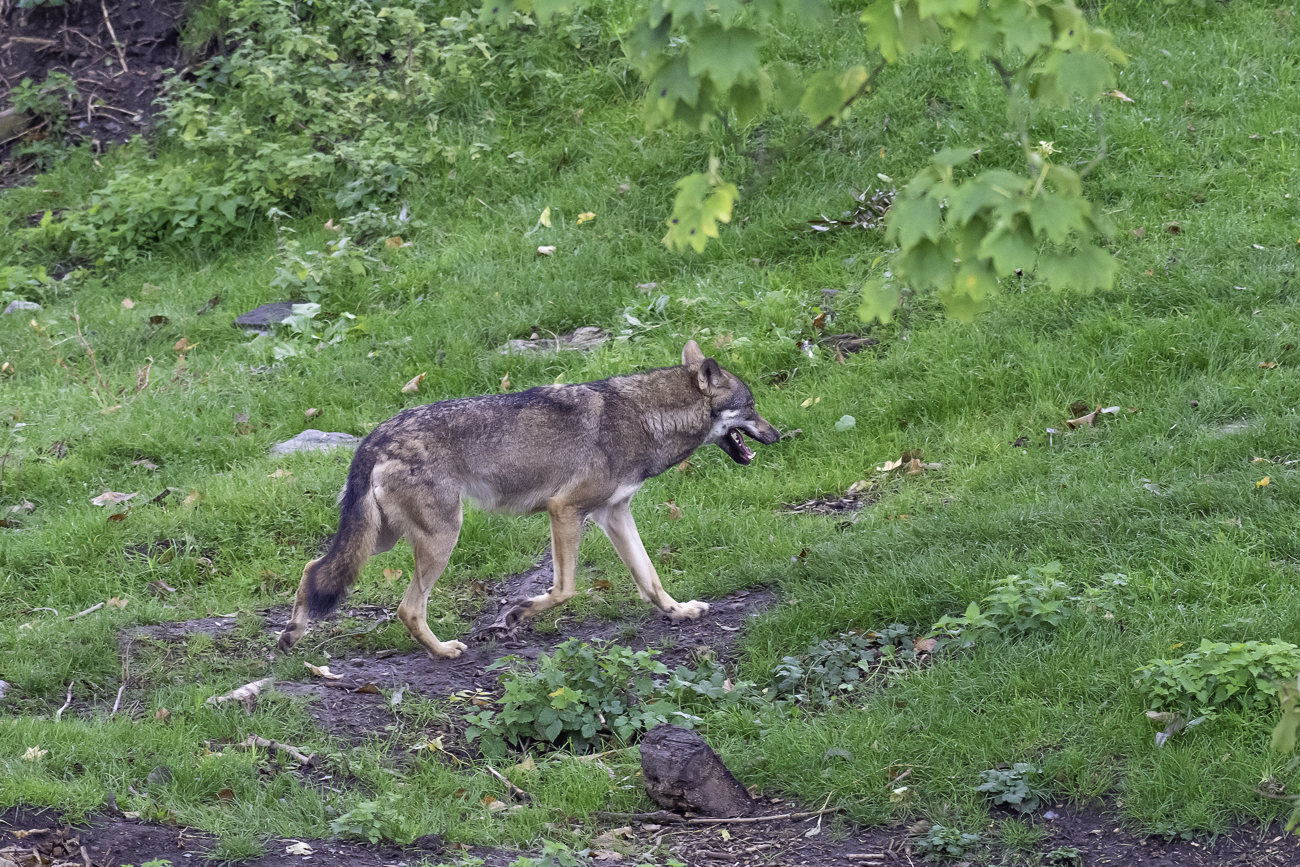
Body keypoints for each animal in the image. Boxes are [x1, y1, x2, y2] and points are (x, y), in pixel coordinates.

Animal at [277, 340, 780, 660]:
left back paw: (291, 635)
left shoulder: (614, 513)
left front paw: (680, 611)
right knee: (407, 607)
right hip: (441, 539)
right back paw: (443, 652)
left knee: (313, 568)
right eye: (752, 407)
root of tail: (375, 436)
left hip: (381, 540)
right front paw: (517, 614)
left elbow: (651, 579)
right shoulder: (565, 510)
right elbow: (565, 589)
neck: (643, 418)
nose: (779, 434)